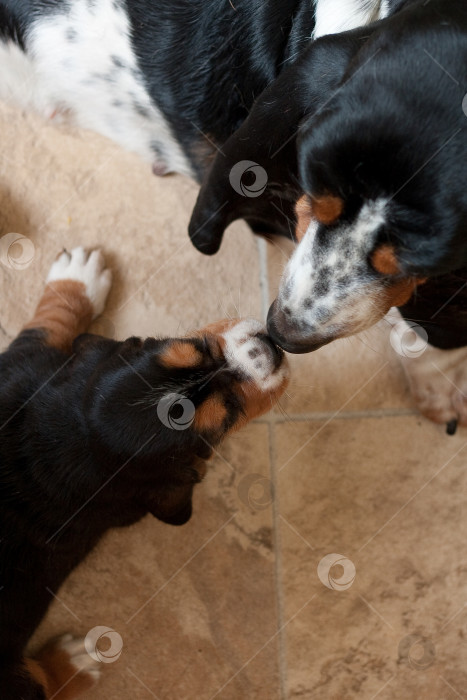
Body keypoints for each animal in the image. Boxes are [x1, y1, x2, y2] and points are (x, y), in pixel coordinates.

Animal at [0, 247, 288, 700]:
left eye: (193, 344)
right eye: (229, 414)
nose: (269, 346)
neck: (69, 438)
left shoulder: (22, 368)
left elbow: (49, 323)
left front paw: (77, 277)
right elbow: (46, 326)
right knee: (40, 683)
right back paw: (77, 659)